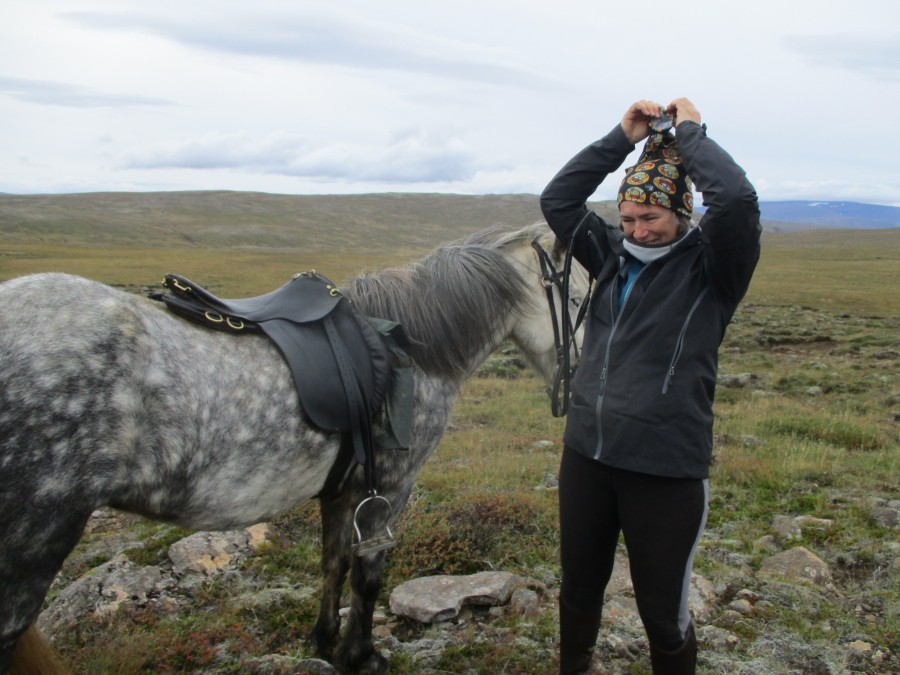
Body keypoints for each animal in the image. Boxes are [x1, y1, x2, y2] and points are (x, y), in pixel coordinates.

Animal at [0, 221, 588, 674]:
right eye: (579, 298)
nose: (581, 384)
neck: (412, 347)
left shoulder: (341, 490)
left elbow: (333, 562)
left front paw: (323, 641)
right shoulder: (391, 489)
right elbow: (368, 573)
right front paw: (361, 656)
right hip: (33, 543)